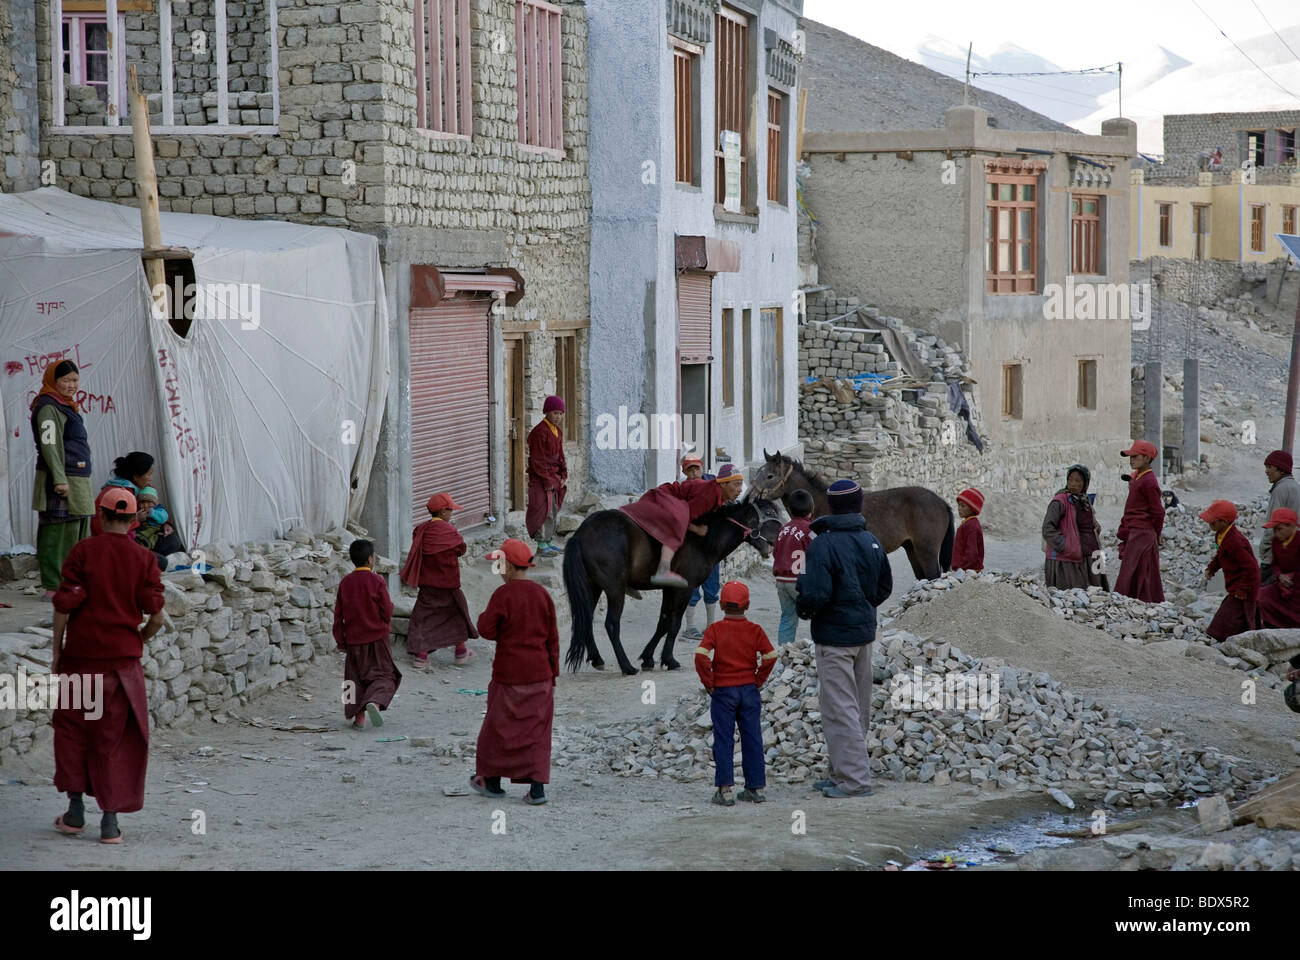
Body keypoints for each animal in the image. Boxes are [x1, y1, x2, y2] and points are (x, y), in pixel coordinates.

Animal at [561, 502, 780, 671]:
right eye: (769, 513)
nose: (779, 537)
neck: (703, 540)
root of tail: (580, 534)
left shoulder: (669, 589)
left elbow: (663, 622)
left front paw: (649, 658)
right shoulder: (685, 589)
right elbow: (674, 624)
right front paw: (669, 660)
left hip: (593, 586)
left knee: (586, 618)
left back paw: (597, 658)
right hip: (615, 588)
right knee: (612, 624)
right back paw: (626, 666)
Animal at [743, 452, 956, 580]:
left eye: (770, 476)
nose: (748, 497)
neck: (821, 503)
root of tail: (942, 502)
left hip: (926, 551)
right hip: (912, 549)